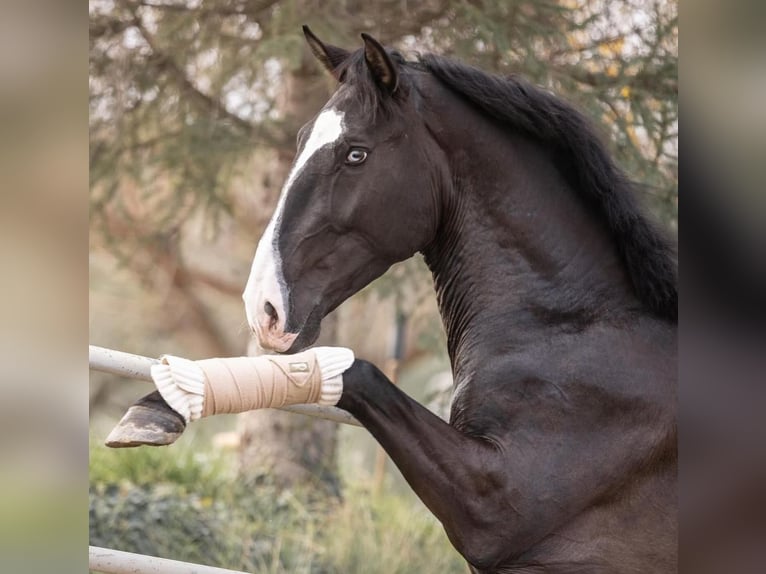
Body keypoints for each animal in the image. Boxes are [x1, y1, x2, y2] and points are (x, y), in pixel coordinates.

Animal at [117, 28, 676, 574]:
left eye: (356, 153)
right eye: (301, 141)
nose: (264, 309)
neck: (570, 326)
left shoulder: (496, 507)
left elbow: (353, 370)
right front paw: (160, 406)